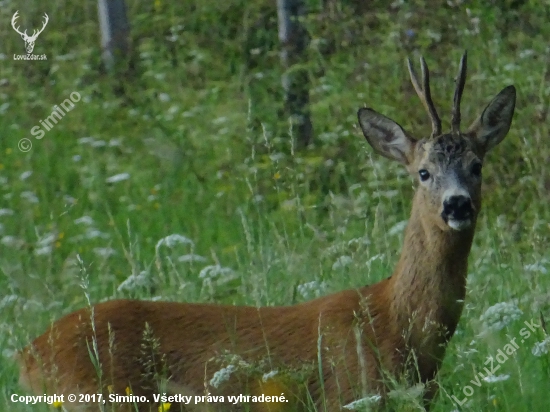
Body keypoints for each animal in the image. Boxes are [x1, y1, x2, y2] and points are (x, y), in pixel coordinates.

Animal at [17, 53, 516, 410]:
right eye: (423, 172)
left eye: (476, 166)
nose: (457, 204)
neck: (395, 326)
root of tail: (28, 354)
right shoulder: (346, 397)